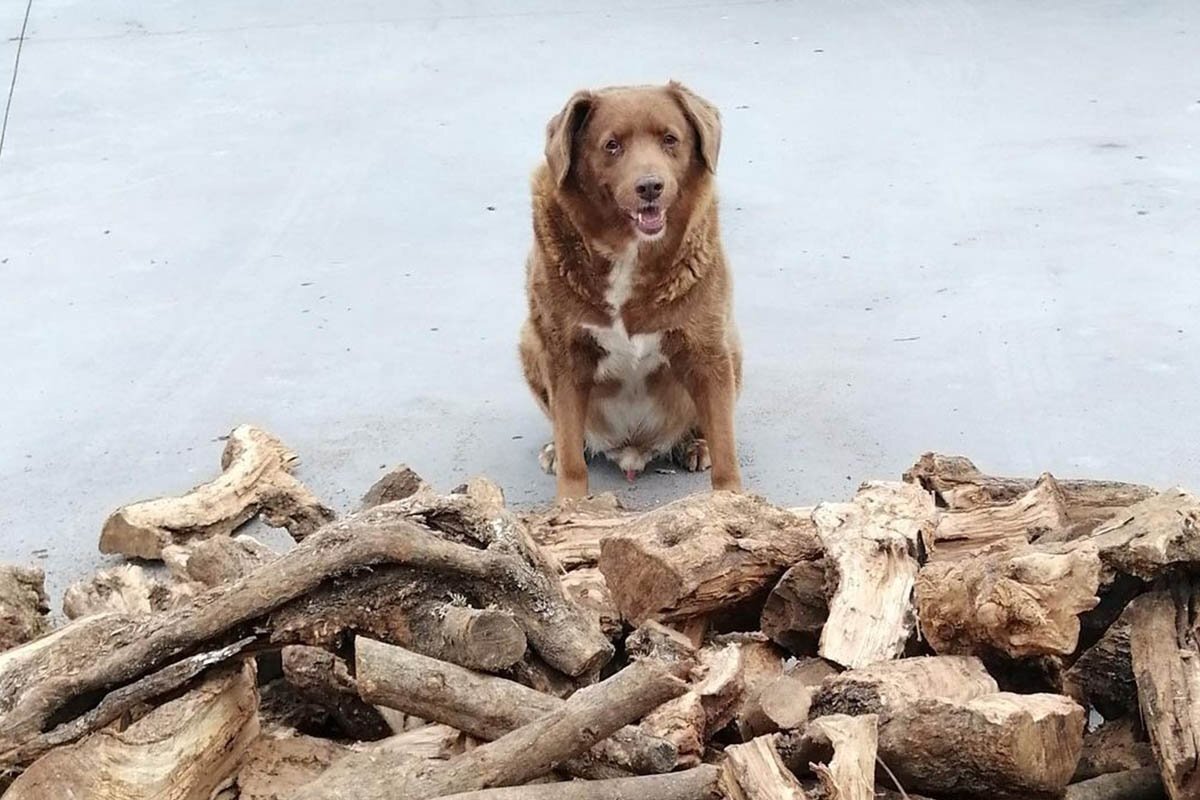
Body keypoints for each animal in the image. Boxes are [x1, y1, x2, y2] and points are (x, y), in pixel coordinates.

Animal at [518, 82, 739, 501]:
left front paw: (733, 501)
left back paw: (694, 444)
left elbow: (725, 450)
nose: (650, 186)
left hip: (732, 347)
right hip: (529, 342)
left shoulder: (707, 350)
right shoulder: (564, 355)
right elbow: (571, 456)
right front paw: (571, 504)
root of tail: (633, 449)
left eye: (670, 139)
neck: (629, 253)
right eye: (612, 145)